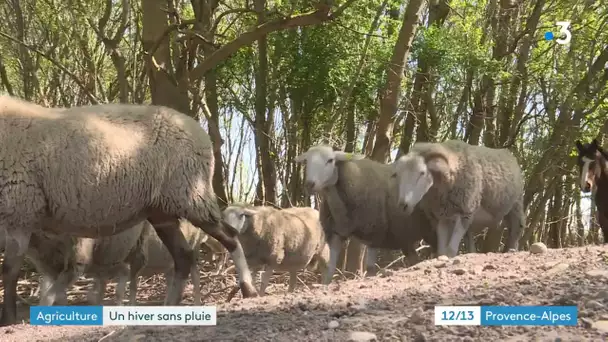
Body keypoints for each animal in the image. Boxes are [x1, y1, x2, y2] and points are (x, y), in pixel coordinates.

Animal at [0, 95, 256, 326]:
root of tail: (200, 133)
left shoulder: (19, 210)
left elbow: (9, 271)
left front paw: (8, 319)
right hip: (163, 211)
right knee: (183, 255)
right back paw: (171, 304)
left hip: (191, 195)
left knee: (229, 236)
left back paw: (248, 289)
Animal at [294, 146, 436, 284]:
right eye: (306, 161)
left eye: (330, 160)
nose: (310, 184)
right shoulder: (335, 234)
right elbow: (329, 270)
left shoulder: (375, 231)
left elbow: (370, 268)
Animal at [392, 139, 524, 260]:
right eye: (397, 174)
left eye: (422, 173)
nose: (403, 206)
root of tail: (508, 152)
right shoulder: (443, 216)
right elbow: (442, 250)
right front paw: (442, 257)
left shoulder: (465, 212)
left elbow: (450, 249)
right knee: (470, 237)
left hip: (516, 205)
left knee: (516, 229)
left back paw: (512, 250)